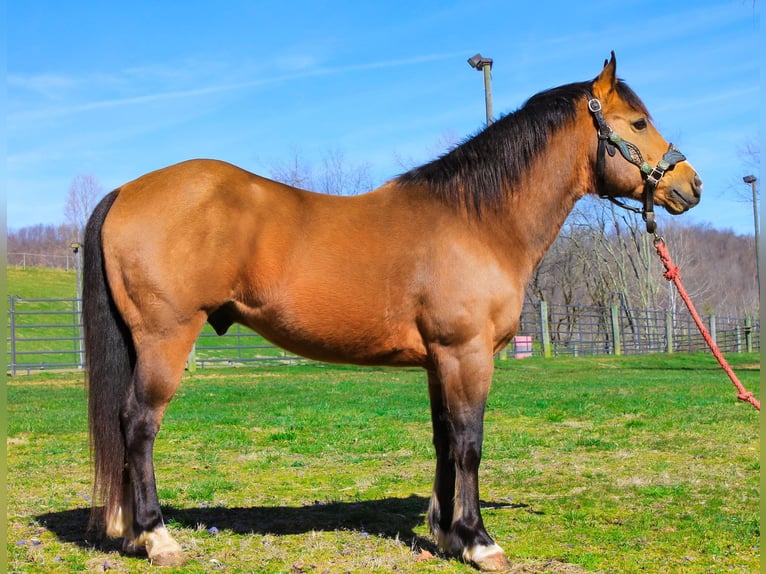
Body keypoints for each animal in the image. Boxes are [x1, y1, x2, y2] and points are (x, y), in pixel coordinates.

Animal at [82, 53, 704, 572]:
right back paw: (157, 537)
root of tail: (127, 190)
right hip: (166, 339)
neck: (476, 220)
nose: (691, 184)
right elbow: (471, 443)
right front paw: (481, 542)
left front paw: (448, 535)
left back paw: (131, 534)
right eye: (638, 123)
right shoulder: (467, 354)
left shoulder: (438, 361)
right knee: (139, 424)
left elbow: (444, 440)